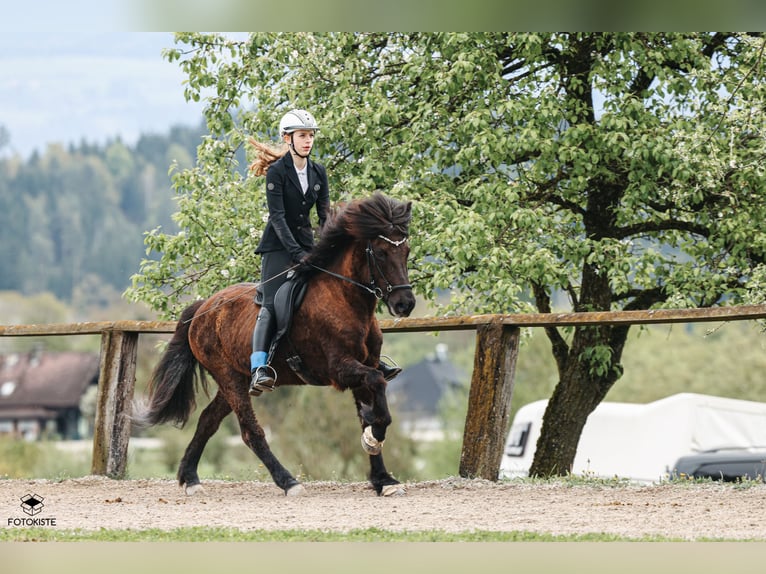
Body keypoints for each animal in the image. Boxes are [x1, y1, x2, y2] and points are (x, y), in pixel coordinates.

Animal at [133, 193, 416, 497]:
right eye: (382, 253)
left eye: (406, 251)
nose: (405, 304)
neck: (346, 300)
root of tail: (203, 307)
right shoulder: (340, 369)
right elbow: (377, 388)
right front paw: (375, 438)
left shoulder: (365, 365)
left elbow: (369, 409)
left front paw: (383, 478)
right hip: (228, 376)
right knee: (250, 432)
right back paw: (288, 481)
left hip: (234, 378)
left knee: (208, 420)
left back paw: (191, 478)